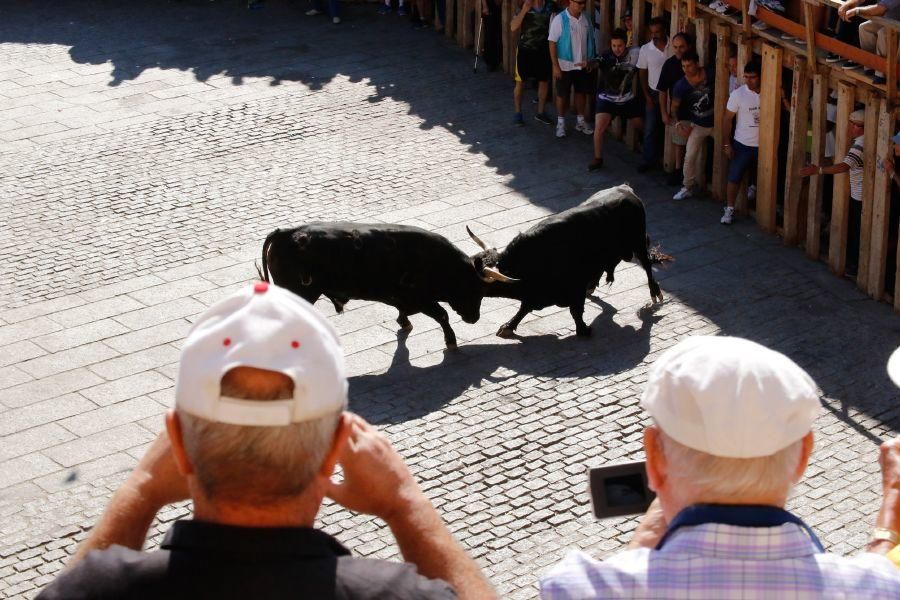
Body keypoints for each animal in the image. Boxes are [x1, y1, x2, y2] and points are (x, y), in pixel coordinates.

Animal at [260, 224, 512, 346]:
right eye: (476, 289)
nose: (474, 319)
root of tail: (286, 233)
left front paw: (404, 322)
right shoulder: (422, 299)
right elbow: (442, 315)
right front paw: (450, 341)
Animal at [474, 185, 664, 338]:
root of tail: (626, 189)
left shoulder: (574, 286)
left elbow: (575, 310)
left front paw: (583, 330)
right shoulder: (536, 293)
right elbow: (524, 308)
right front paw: (508, 326)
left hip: (638, 242)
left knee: (647, 265)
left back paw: (654, 293)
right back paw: (592, 286)